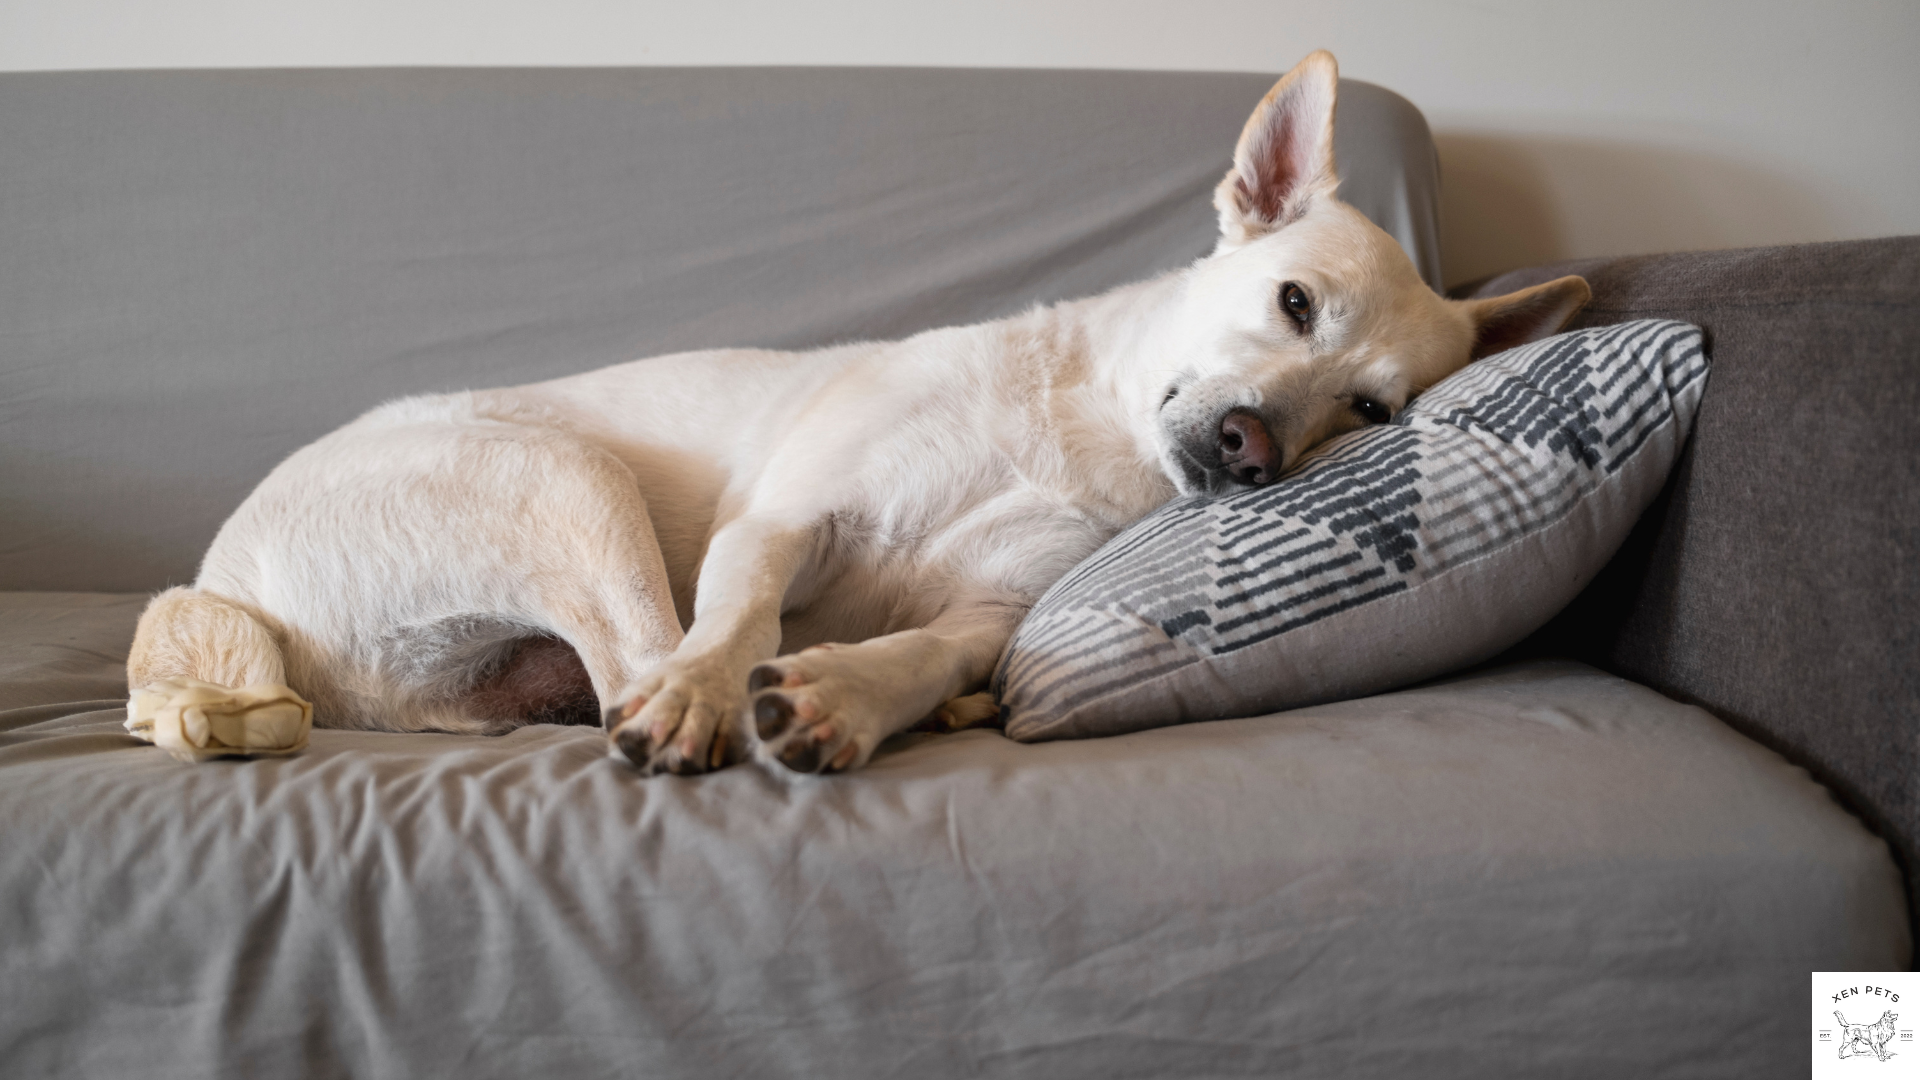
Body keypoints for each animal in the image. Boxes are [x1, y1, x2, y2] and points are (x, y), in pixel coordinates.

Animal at [123, 52, 1589, 772]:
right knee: (643, 659)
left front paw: (855, 700)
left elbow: (937, 651)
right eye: (1292, 301)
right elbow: (733, 625)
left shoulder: (996, 611)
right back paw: (689, 703)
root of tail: (224, 588)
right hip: (569, 480)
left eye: (1368, 407)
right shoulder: (784, 523)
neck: (1078, 427)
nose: (1255, 447)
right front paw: (730, 689)